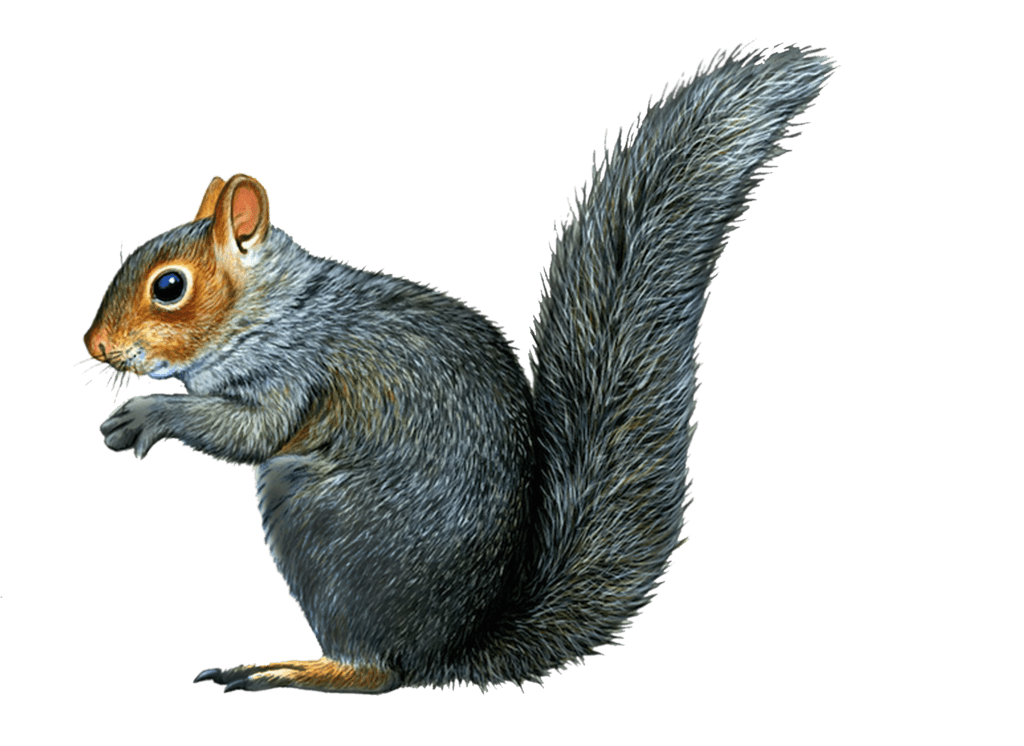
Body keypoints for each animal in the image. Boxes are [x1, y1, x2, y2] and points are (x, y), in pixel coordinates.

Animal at [81, 41, 836, 695]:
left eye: (169, 286)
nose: (95, 346)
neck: (276, 306)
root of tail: (450, 649)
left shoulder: (297, 369)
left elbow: (253, 433)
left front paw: (148, 414)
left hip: (321, 528)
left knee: (380, 674)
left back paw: (294, 670)